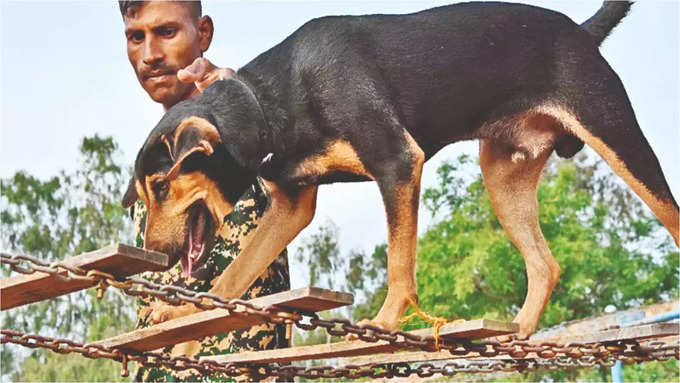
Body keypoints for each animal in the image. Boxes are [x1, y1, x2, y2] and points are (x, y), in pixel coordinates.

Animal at [123, 2, 680, 340]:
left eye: (162, 185)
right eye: (146, 194)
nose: (155, 254)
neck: (265, 102)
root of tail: (582, 32)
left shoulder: (397, 163)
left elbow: (399, 265)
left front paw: (387, 321)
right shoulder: (291, 205)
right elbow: (230, 280)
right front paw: (182, 315)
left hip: (617, 134)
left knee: (669, 216)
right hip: (503, 174)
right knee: (546, 265)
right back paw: (519, 331)